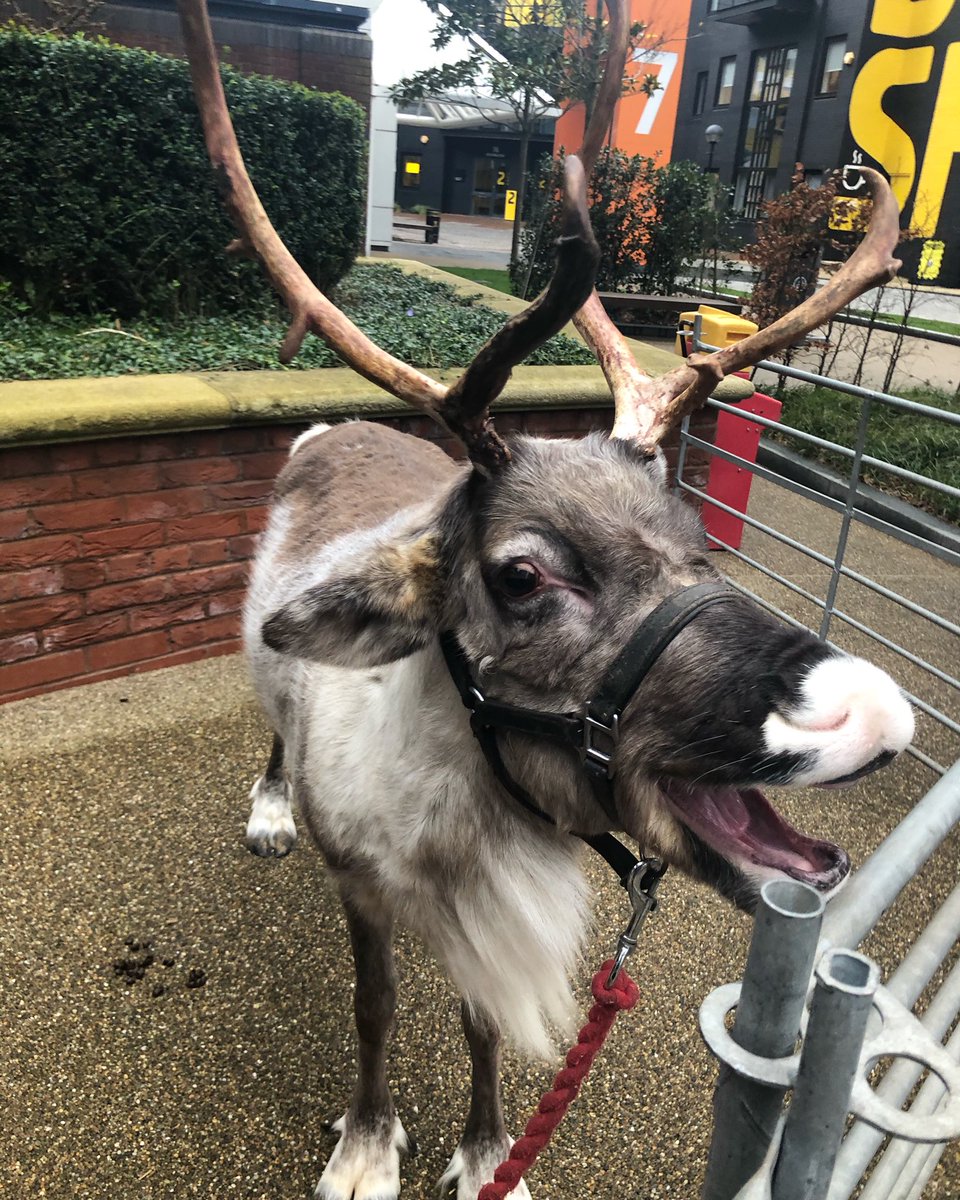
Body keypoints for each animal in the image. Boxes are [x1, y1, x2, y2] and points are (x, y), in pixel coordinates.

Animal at [176, 0, 915, 1195]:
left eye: (694, 534)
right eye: (522, 575)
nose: (872, 708)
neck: (466, 820)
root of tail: (333, 424)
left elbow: (479, 1029)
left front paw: (487, 1153)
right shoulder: (364, 887)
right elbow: (376, 1008)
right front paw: (367, 1144)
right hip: (268, 668)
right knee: (275, 722)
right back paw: (271, 809)